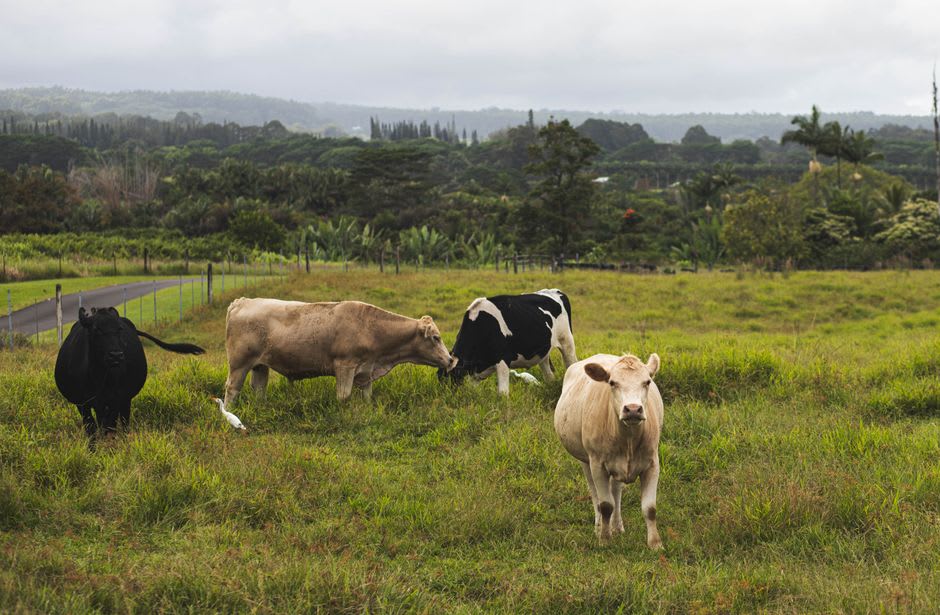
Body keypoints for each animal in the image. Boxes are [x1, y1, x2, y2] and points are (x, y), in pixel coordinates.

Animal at [54, 307, 205, 440]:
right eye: (96, 329)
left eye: (119, 329)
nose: (116, 355)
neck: (98, 377)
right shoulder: (82, 404)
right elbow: (91, 430)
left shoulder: (115, 400)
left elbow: (110, 428)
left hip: (125, 400)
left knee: (124, 422)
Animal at [223, 298, 456, 404]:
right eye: (436, 338)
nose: (451, 360)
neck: (370, 328)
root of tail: (241, 302)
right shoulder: (345, 366)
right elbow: (343, 396)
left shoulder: (366, 371)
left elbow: (367, 395)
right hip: (239, 364)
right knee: (232, 389)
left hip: (260, 366)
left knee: (259, 389)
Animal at [439, 289, 576, 395]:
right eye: (442, 379)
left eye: (454, 377)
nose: (450, 397)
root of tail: (555, 291)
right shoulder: (474, 371)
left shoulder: (503, 359)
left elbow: (503, 393)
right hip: (543, 352)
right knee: (549, 375)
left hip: (567, 341)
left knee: (571, 363)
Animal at [554, 353, 663, 548]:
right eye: (612, 383)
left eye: (647, 382)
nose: (633, 409)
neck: (628, 439)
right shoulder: (598, 464)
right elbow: (605, 505)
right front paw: (605, 539)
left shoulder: (652, 463)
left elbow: (649, 508)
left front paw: (655, 544)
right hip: (585, 460)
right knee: (595, 493)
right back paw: (599, 527)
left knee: (616, 491)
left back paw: (617, 526)